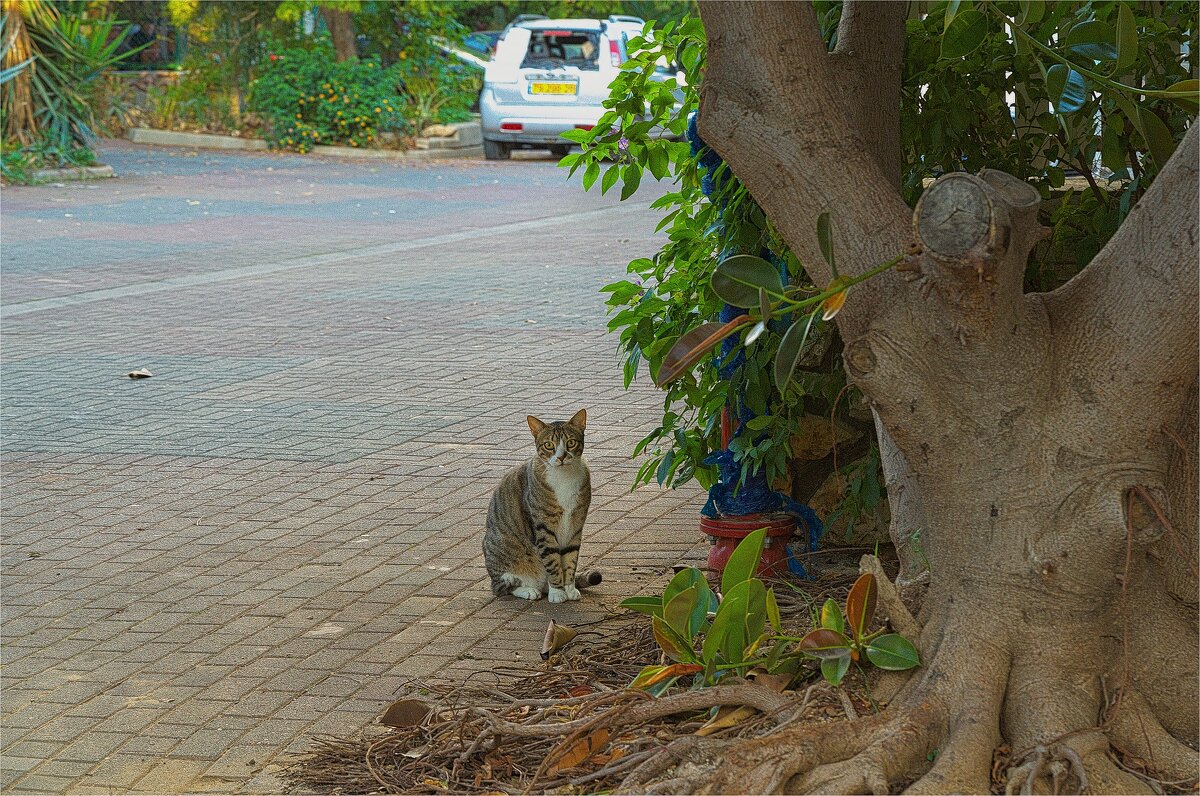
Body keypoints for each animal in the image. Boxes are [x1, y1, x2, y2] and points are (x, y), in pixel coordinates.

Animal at [482, 410, 604, 605]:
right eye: (548, 445)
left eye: (570, 442)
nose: (561, 457)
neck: (564, 477)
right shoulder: (543, 528)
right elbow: (552, 562)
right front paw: (557, 591)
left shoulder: (575, 526)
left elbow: (570, 559)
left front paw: (569, 588)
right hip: (501, 551)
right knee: (502, 587)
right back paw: (529, 590)